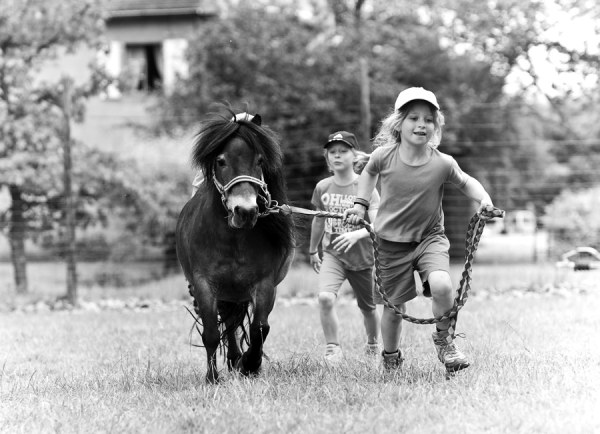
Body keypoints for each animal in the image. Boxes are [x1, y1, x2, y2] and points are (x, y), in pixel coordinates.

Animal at [175, 112, 295, 383]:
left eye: (260, 161)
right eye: (220, 161)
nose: (246, 211)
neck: (234, 239)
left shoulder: (264, 284)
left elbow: (260, 329)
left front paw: (250, 365)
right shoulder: (205, 284)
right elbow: (210, 333)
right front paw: (212, 378)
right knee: (227, 323)